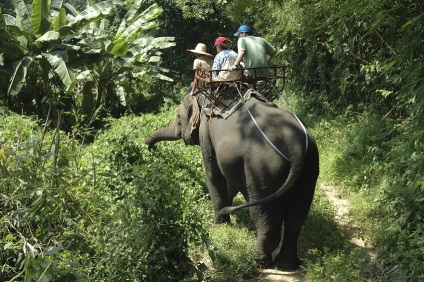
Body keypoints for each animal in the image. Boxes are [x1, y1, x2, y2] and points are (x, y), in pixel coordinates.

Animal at [145, 87, 318, 270]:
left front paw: (217, 227)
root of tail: (296, 147)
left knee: (263, 216)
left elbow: (213, 174)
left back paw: (258, 261)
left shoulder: (206, 131)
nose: (151, 149)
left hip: (263, 171)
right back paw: (287, 265)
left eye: (178, 117)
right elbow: (230, 182)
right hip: (309, 171)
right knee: (296, 218)